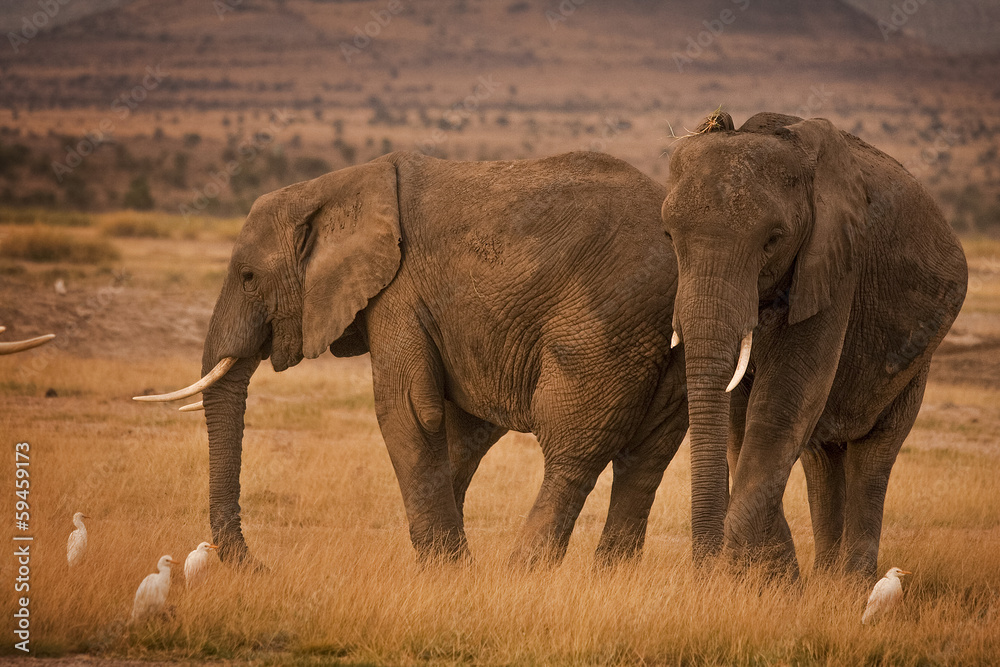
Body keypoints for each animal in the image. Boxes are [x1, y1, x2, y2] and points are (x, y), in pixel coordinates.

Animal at [138, 151, 688, 569]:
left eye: (249, 277)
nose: (259, 568)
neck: (335, 189)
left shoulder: (397, 293)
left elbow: (407, 409)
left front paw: (445, 571)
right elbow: (457, 428)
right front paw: (451, 565)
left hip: (606, 323)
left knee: (573, 448)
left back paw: (523, 572)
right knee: (647, 456)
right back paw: (609, 577)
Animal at [660, 111, 967, 580]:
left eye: (772, 240)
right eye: (669, 237)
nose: (706, 571)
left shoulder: (836, 262)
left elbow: (782, 403)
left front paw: (750, 578)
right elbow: (740, 419)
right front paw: (775, 581)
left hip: (919, 355)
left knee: (873, 455)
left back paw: (851, 585)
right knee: (821, 458)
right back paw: (824, 580)